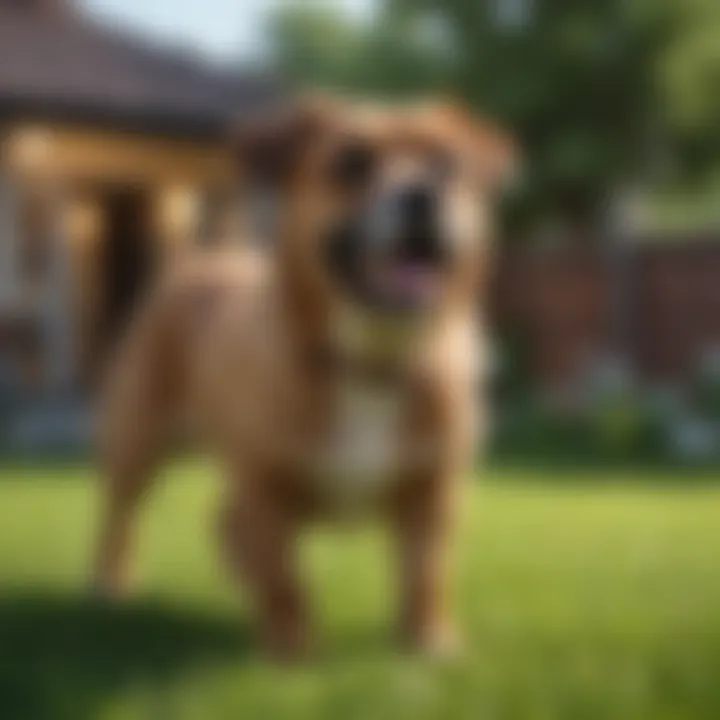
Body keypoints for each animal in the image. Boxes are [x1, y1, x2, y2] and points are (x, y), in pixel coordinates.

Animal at [93, 97, 516, 664]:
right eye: (352, 162)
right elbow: (285, 578)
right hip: (138, 443)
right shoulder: (266, 487)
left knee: (223, 522)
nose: (425, 192)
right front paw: (291, 651)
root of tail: (203, 262)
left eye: (447, 164)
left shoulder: (434, 491)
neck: (369, 361)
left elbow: (426, 573)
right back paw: (111, 584)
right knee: (121, 516)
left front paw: (428, 640)